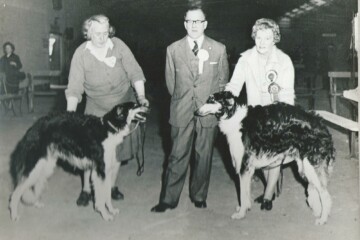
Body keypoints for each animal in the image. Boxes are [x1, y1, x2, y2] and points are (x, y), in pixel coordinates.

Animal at [9, 101, 148, 221]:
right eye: (135, 105)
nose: (147, 106)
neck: (109, 128)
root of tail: (34, 127)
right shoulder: (100, 172)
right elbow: (101, 198)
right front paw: (105, 215)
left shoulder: (107, 171)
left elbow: (107, 195)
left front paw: (111, 210)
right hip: (34, 167)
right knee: (15, 193)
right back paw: (14, 215)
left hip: (45, 166)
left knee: (35, 185)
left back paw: (36, 203)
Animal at [197, 92, 334, 225]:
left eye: (211, 100)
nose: (196, 112)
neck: (234, 116)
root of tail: (322, 126)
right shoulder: (248, 169)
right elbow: (246, 194)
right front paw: (245, 208)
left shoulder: (244, 166)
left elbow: (242, 194)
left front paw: (241, 214)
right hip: (305, 167)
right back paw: (318, 213)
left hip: (311, 166)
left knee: (325, 195)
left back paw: (322, 219)